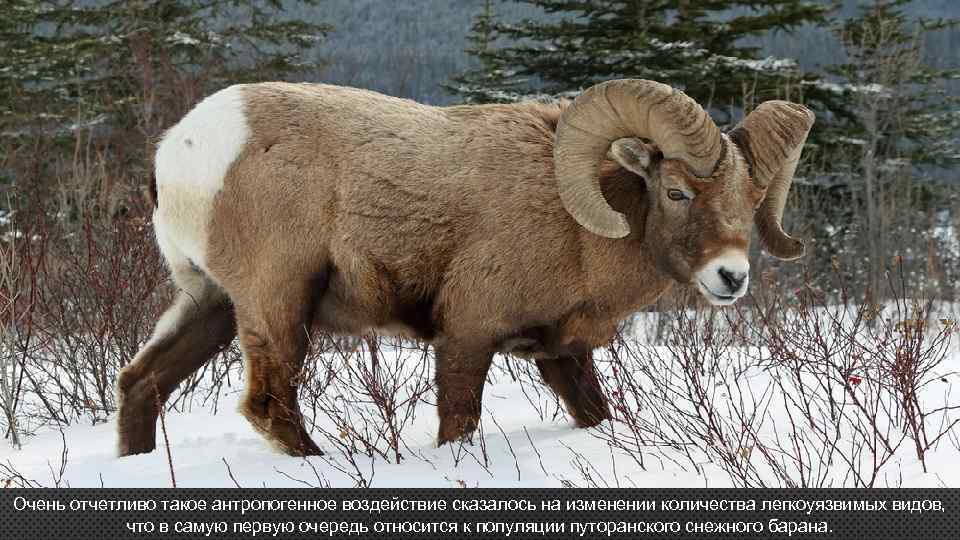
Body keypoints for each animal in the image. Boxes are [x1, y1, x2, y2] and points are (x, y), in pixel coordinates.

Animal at [116, 78, 812, 454]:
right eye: (676, 192)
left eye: (752, 200)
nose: (731, 277)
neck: (575, 226)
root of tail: (179, 150)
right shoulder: (468, 337)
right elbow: (458, 423)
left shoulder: (561, 353)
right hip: (278, 301)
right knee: (269, 405)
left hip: (210, 303)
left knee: (141, 383)